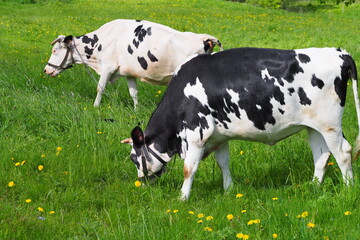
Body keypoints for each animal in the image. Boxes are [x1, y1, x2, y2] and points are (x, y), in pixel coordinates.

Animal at [42, 19, 222, 107]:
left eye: (55, 50)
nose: (45, 70)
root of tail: (205, 37)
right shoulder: (128, 73)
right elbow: (133, 93)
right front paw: (136, 110)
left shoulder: (107, 67)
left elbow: (100, 88)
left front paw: (95, 107)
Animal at [121, 47, 360, 201]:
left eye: (134, 158)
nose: (142, 182)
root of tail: (339, 52)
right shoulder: (219, 137)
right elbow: (223, 163)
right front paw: (229, 190)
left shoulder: (197, 133)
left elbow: (189, 169)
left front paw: (182, 198)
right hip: (314, 126)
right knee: (321, 156)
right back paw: (312, 187)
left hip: (330, 124)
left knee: (343, 153)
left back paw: (348, 190)